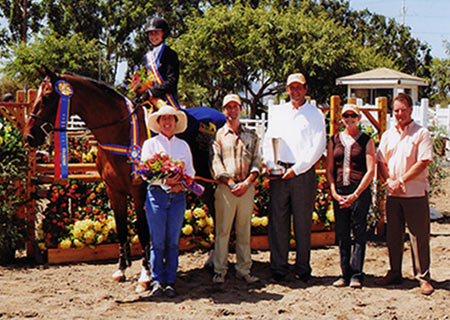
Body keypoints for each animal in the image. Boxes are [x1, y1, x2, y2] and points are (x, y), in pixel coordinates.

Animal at [23, 69, 224, 292]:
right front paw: (121, 270)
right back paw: (211, 260)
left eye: (48, 96)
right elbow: (121, 228)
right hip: (204, 186)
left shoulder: (139, 192)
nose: (29, 136)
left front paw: (145, 276)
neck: (120, 131)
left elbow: (144, 231)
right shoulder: (114, 190)